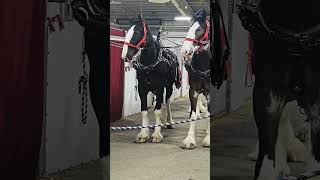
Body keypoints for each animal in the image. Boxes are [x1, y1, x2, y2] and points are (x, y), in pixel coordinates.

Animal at [121, 14, 180, 143]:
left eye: (136, 32)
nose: (124, 55)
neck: (150, 62)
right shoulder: (142, 89)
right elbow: (144, 111)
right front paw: (143, 134)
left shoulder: (159, 88)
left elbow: (157, 111)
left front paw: (157, 134)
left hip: (168, 87)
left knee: (167, 103)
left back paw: (169, 122)